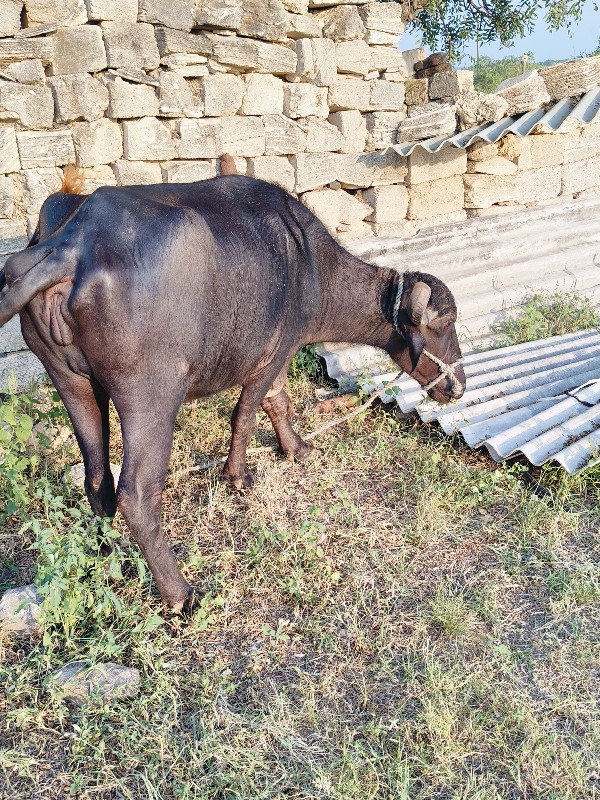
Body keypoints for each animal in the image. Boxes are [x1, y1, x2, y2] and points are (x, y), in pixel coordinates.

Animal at [0, 173, 466, 612]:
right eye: (443, 324)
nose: (458, 386)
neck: (309, 264)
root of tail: (71, 245)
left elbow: (278, 404)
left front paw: (297, 448)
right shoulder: (272, 355)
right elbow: (249, 412)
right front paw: (238, 475)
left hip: (69, 379)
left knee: (97, 479)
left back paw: (109, 557)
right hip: (150, 397)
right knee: (135, 495)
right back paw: (179, 595)